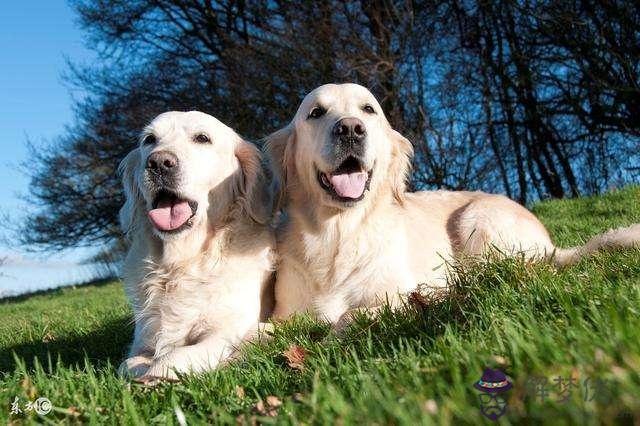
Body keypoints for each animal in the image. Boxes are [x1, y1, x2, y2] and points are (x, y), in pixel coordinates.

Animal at [117, 110, 276, 382]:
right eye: (149, 140)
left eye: (202, 138)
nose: (158, 162)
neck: (180, 264)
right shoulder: (141, 341)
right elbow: (127, 365)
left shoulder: (224, 330)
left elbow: (170, 359)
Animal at [266, 84, 640, 326]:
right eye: (316, 113)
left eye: (368, 110)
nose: (350, 129)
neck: (338, 233)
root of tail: (549, 244)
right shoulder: (287, 316)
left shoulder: (393, 293)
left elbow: (349, 316)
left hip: (478, 220)